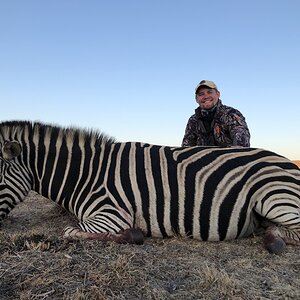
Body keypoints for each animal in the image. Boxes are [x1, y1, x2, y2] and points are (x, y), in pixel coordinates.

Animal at [0, 119, 298, 253]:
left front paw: (134, 235)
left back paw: (274, 240)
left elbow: (69, 231)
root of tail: (288, 162)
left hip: (273, 196)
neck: (85, 173)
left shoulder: (111, 214)